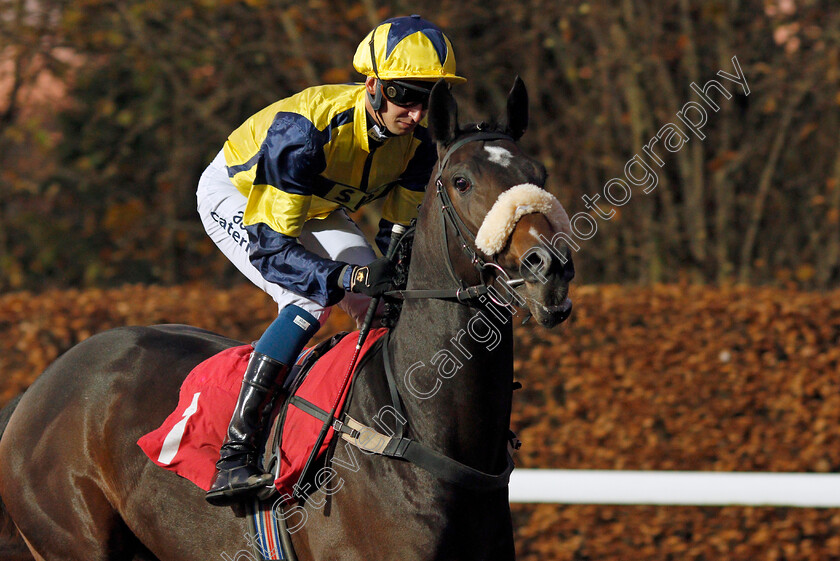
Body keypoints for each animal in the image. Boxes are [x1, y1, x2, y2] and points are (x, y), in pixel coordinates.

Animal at [0, 77, 576, 560]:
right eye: (461, 180)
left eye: (540, 176)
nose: (549, 268)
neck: (418, 427)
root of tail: (38, 388)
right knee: (300, 303)